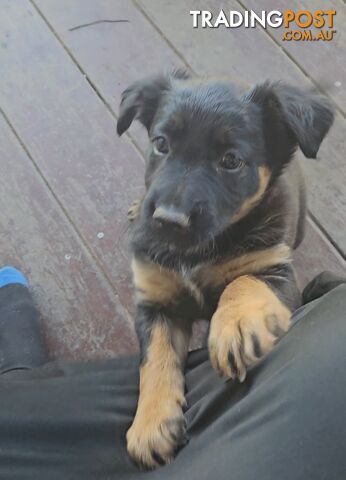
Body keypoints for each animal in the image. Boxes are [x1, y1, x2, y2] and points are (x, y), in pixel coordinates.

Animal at [117, 71, 336, 468]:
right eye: (161, 144)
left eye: (231, 160)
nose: (167, 221)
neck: (196, 252)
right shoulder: (155, 302)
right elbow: (154, 359)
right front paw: (151, 424)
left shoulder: (278, 274)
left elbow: (243, 281)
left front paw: (235, 325)